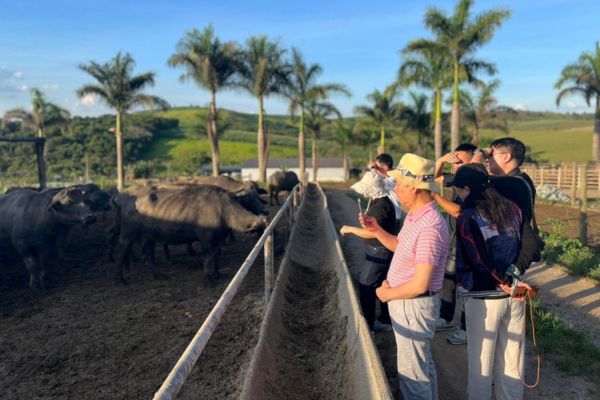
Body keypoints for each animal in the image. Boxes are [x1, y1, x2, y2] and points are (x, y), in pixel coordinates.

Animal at [112, 184, 268, 284]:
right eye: (249, 198)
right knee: (120, 252)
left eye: (258, 196)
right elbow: (209, 256)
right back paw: (120, 279)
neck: (225, 209)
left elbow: (216, 254)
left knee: (150, 254)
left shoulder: (217, 239)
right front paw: (208, 279)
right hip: (127, 234)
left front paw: (216, 274)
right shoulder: (206, 240)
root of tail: (120, 196)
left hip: (149, 236)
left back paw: (158, 275)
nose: (264, 211)